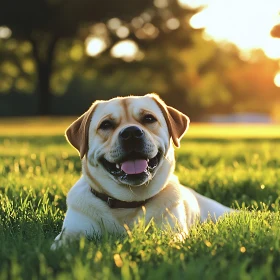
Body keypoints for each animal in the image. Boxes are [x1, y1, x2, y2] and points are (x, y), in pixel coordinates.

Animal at [52, 93, 232, 247]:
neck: (127, 205)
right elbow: (63, 243)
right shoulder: (74, 230)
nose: (131, 132)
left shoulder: (171, 231)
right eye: (106, 124)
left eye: (149, 118)